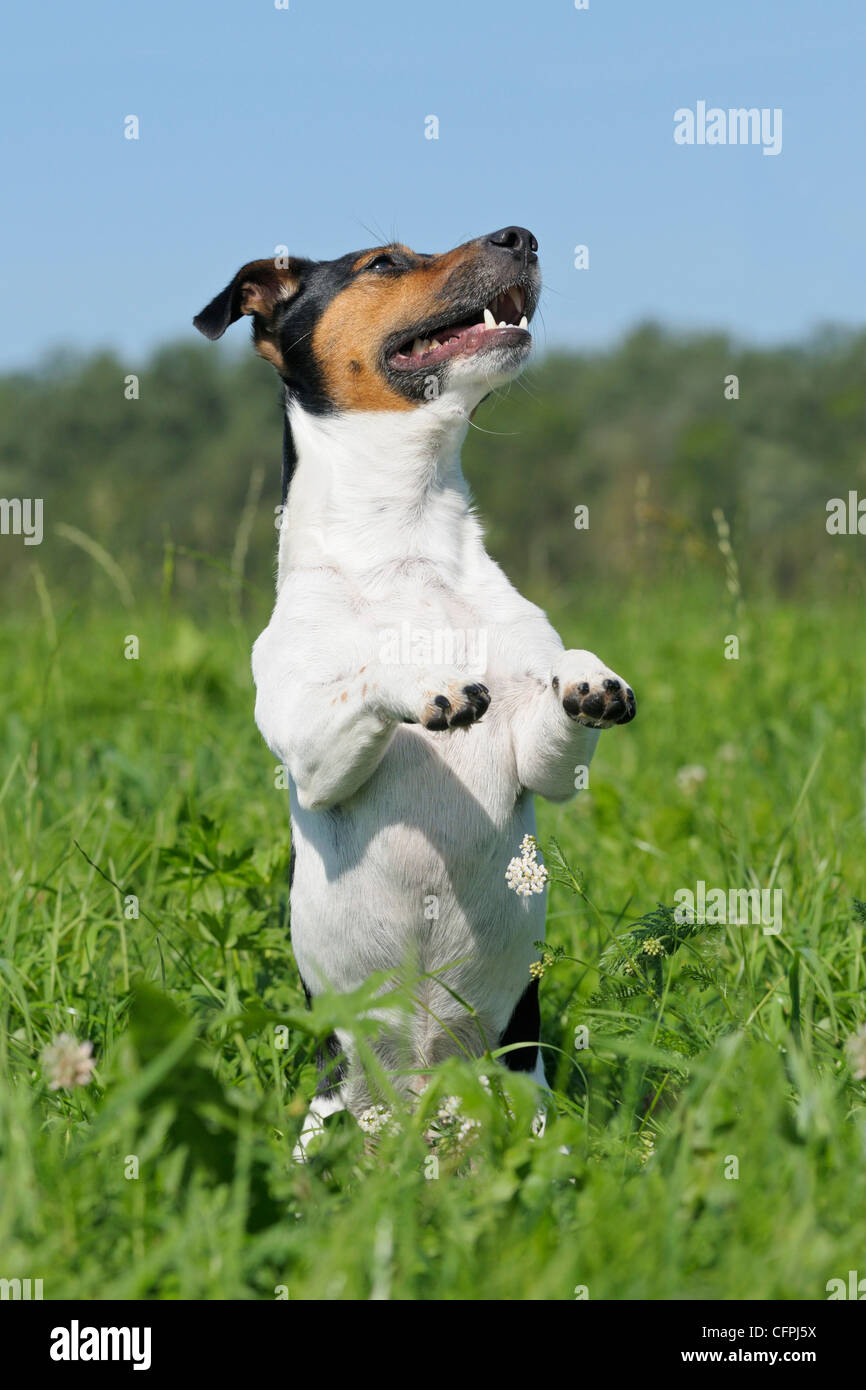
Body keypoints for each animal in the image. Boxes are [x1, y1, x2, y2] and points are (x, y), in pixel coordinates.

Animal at [193, 222, 633, 1145]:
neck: (406, 543)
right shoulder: (312, 752)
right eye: (385, 263)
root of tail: (421, 1112)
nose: (521, 234)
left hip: (525, 1103)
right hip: (326, 1121)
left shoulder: (543, 764)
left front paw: (586, 678)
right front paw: (429, 679)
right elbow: (368, 675)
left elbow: (556, 697)